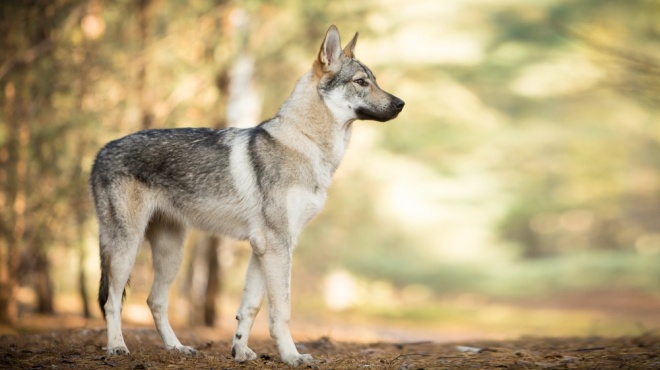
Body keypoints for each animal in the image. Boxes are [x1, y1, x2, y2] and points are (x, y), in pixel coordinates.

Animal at [91, 24, 404, 366]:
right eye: (361, 82)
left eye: (375, 80)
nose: (401, 103)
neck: (305, 144)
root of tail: (100, 152)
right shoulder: (278, 245)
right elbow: (281, 310)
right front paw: (292, 355)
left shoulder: (261, 247)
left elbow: (249, 308)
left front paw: (240, 351)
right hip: (128, 247)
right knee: (112, 301)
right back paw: (117, 347)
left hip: (171, 253)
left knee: (154, 301)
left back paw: (177, 348)